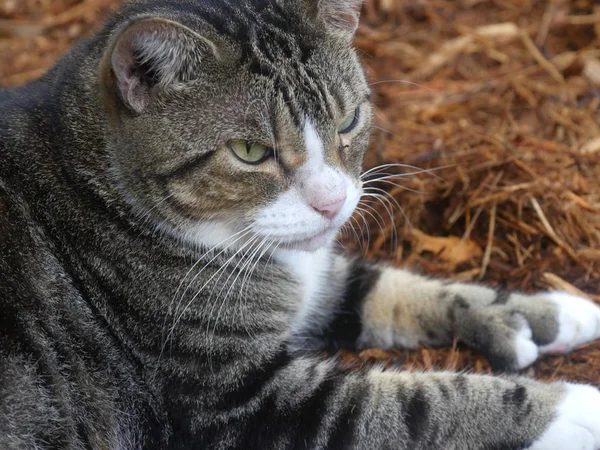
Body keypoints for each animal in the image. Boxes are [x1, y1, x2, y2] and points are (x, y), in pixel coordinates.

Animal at [1, 0, 600, 448]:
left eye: (350, 120)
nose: (332, 203)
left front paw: (549, 314)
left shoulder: (323, 281)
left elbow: (394, 289)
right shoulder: (238, 404)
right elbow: (417, 406)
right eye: (249, 152)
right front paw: (575, 407)